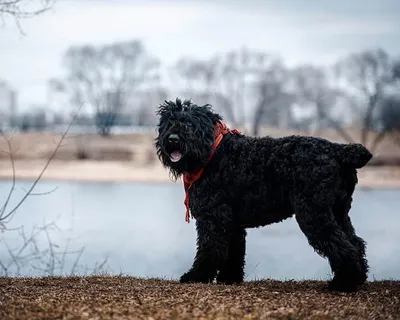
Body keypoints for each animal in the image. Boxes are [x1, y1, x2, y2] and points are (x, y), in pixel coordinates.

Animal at [155, 97, 374, 292]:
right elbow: (233, 252)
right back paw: (357, 279)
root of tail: (338, 151)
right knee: (355, 242)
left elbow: (210, 249)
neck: (213, 152)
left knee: (343, 246)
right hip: (338, 211)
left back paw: (343, 284)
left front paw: (195, 276)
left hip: (313, 213)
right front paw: (229, 279)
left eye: (190, 123)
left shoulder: (213, 217)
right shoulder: (232, 223)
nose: (172, 139)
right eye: (169, 122)